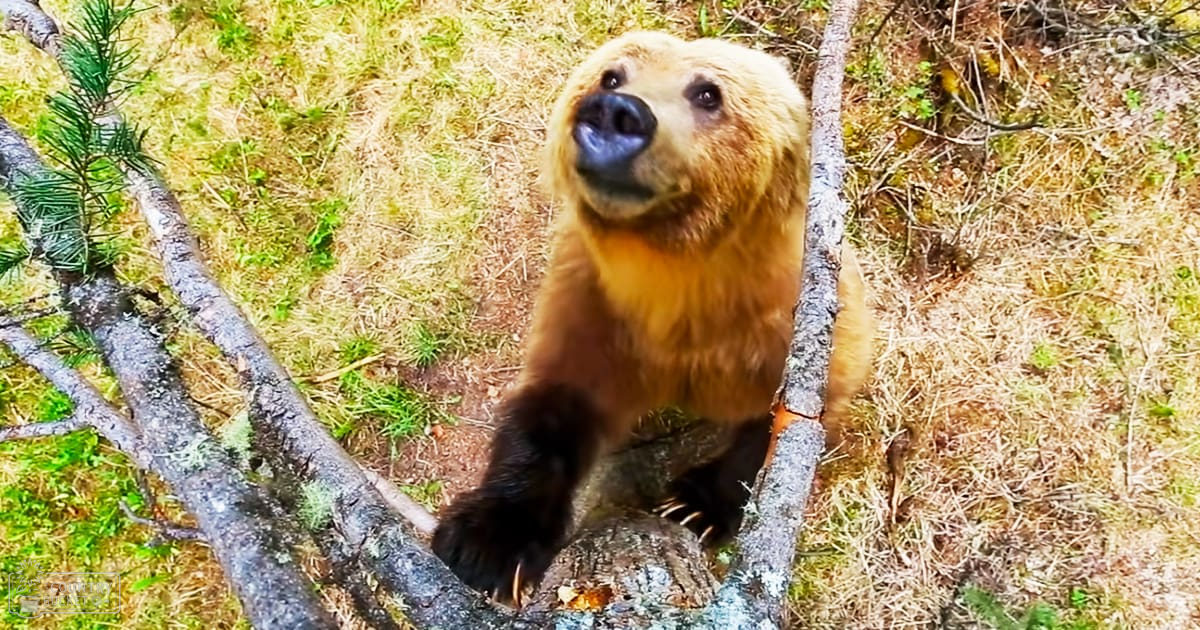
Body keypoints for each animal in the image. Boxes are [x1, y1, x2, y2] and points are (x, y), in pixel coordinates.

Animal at [431, 30, 875, 603]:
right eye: (611, 75)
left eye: (708, 92)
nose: (615, 112)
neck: (676, 289)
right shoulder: (595, 311)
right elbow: (553, 409)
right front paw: (487, 541)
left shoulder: (786, 327)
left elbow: (780, 425)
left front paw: (694, 505)